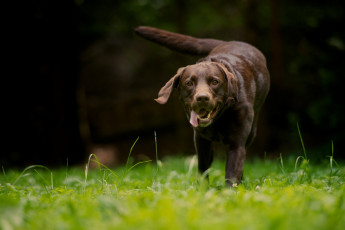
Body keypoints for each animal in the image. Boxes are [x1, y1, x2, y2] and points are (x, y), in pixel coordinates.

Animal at [134, 26, 268, 186]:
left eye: (215, 82)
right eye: (189, 83)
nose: (202, 98)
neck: (219, 118)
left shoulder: (237, 143)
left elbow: (232, 172)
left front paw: (230, 189)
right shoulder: (201, 140)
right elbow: (203, 169)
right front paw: (203, 188)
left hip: (252, 131)